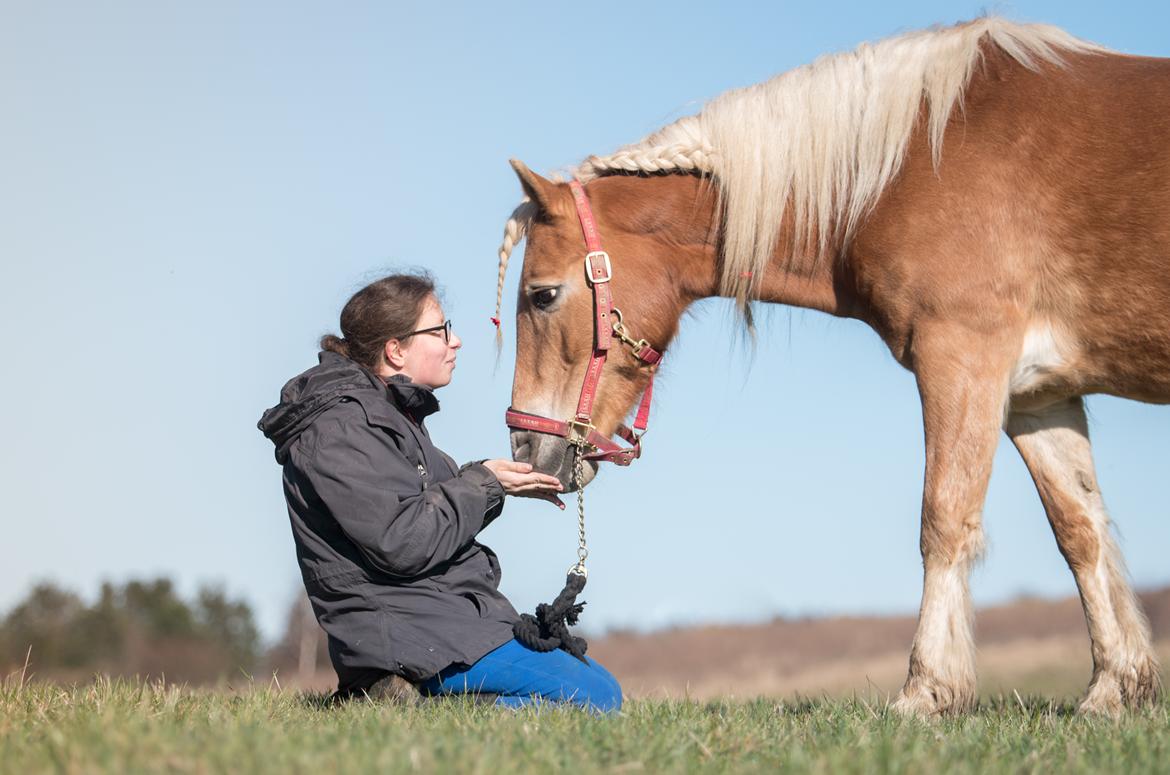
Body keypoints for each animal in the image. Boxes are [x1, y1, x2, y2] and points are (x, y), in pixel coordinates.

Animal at [496, 18, 1170, 721]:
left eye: (542, 295)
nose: (525, 447)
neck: (912, 164)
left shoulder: (963, 357)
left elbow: (944, 520)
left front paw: (927, 691)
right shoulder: (1040, 395)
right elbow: (1082, 532)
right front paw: (1114, 688)